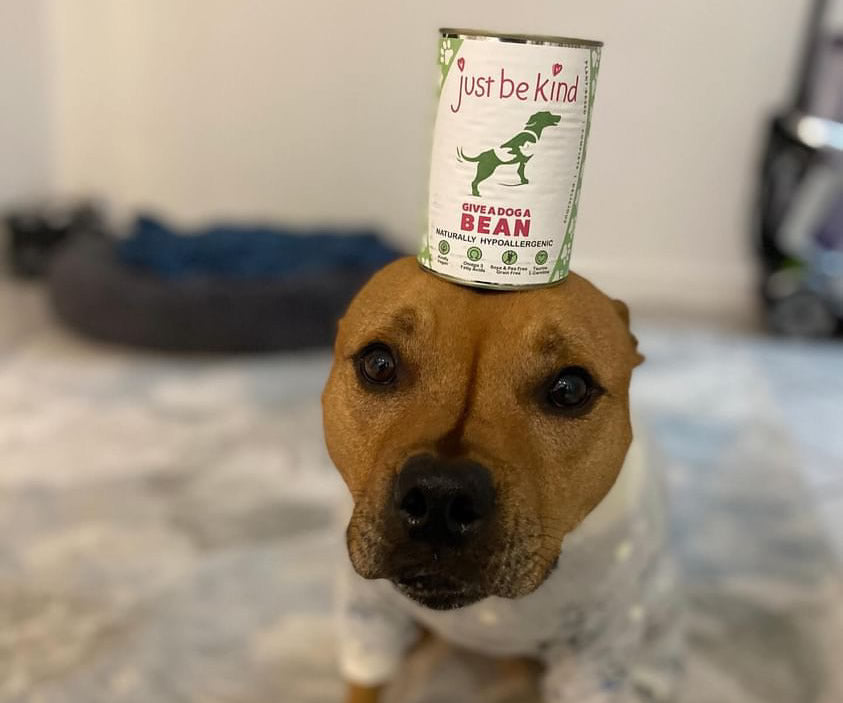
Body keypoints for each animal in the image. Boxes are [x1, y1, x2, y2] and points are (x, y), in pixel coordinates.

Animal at [324, 258, 680, 703]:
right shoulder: (368, 615)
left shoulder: (594, 654)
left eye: (570, 388)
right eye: (379, 364)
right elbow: (365, 684)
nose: (440, 497)